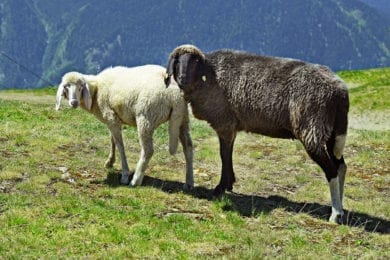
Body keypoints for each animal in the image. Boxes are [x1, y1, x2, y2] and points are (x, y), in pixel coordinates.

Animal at [54, 64, 194, 189]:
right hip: (183, 118)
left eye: (80, 87)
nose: (74, 102)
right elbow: (112, 140)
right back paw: (189, 182)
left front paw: (125, 174)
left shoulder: (111, 117)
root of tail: (175, 94)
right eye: (66, 87)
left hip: (146, 117)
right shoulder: (114, 118)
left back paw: (135, 180)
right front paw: (110, 162)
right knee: (188, 147)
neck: (96, 90)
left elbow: (120, 145)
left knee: (148, 150)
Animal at [165, 44, 350, 223]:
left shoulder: (225, 122)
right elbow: (228, 154)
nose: (182, 78)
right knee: (341, 166)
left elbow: (224, 155)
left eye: (195, 61)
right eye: (177, 61)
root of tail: (340, 91)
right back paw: (340, 207)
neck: (208, 75)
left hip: (312, 128)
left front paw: (221, 188)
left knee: (332, 171)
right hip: (331, 133)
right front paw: (229, 183)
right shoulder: (231, 125)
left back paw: (335, 214)